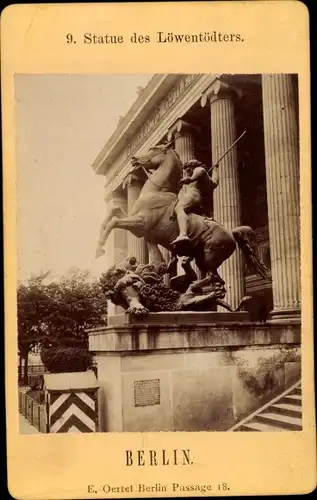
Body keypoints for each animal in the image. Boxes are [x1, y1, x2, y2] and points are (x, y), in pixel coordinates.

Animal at [94, 142, 270, 296]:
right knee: (216, 279)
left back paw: (192, 287)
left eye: (152, 149)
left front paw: (100, 247)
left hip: (209, 256)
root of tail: (232, 234)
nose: (134, 158)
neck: (158, 191)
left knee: (213, 277)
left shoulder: (141, 223)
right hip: (203, 258)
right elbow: (114, 211)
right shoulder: (141, 228)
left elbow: (114, 222)